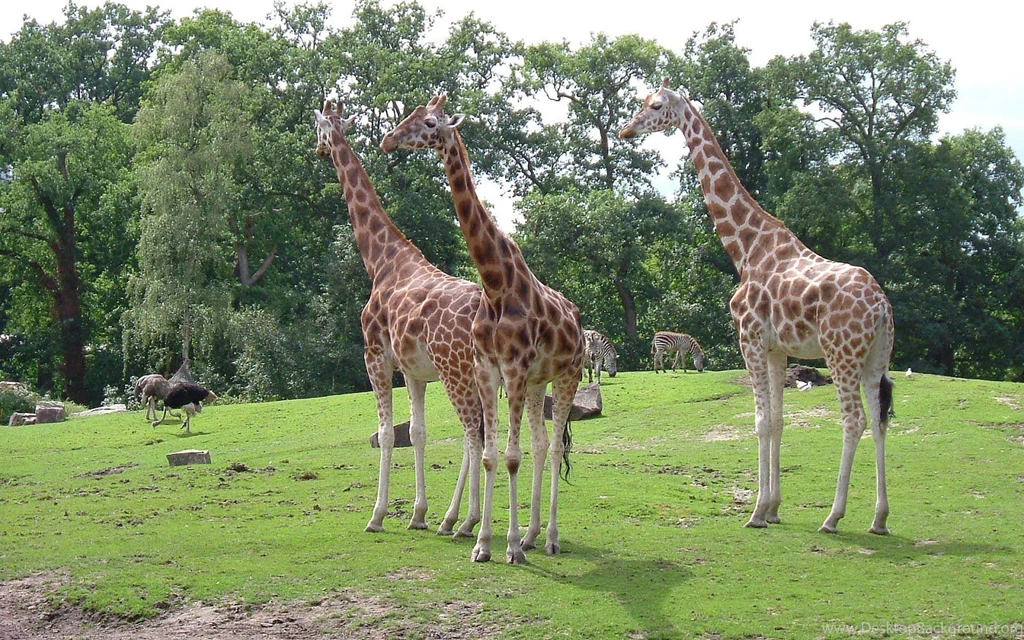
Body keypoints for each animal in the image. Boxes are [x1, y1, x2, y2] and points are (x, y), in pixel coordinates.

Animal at [313, 99, 484, 538]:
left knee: (474, 432)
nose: (319, 150)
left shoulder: (374, 357)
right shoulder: (412, 370)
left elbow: (388, 435)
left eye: (318, 128)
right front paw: (419, 513)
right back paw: (456, 520)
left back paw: (467, 522)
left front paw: (377, 515)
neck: (380, 261)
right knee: (479, 431)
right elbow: (419, 433)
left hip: (458, 372)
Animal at [381, 96, 585, 563]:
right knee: (542, 444)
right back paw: (531, 534)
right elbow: (492, 455)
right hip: (537, 383)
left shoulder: (512, 370)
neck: (495, 284)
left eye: (431, 122)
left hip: (568, 375)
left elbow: (510, 457)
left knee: (555, 447)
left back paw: (549, 538)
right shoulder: (489, 370)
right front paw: (485, 542)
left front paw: (507, 547)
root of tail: (580, 321)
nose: (388, 140)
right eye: (411, 115)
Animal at [620, 80, 895, 534]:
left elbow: (761, 422)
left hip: (841, 354)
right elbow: (779, 422)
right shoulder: (777, 349)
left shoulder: (748, 338)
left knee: (853, 420)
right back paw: (879, 517)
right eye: (641, 104)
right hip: (876, 358)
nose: (626, 130)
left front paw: (756, 512)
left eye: (656, 106)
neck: (745, 249)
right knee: (879, 419)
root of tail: (882, 308)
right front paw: (773, 508)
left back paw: (833, 517)